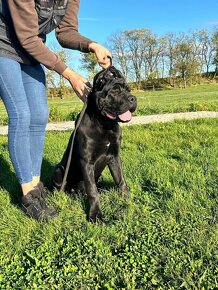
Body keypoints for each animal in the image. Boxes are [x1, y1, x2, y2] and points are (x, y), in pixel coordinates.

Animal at [52, 66, 136, 222]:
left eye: (128, 89)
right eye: (114, 90)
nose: (133, 98)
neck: (104, 123)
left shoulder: (114, 157)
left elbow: (121, 180)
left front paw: (128, 200)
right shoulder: (86, 161)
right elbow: (92, 190)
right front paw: (95, 214)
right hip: (58, 170)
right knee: (63, 188)